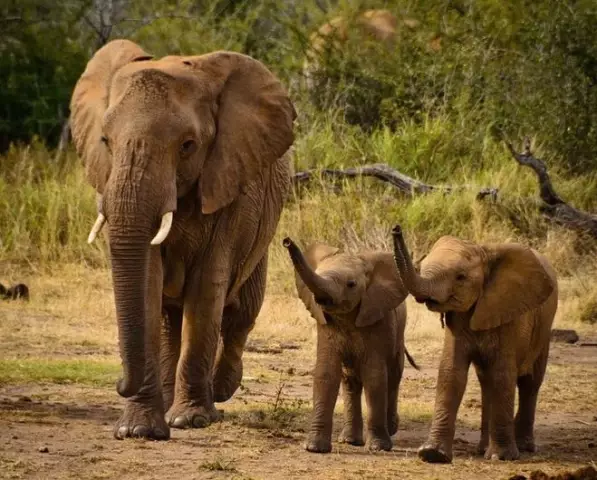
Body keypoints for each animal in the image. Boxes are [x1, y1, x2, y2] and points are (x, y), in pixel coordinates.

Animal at [70, 40, 296, 438]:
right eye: (105, 141)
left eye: (188, 146)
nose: (119, 383)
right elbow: (149, 283)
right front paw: (138, 430)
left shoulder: (229, 189)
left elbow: (207, 290)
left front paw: (188, 421)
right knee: (169, 319)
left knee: (242, 313)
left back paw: (219, 392)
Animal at [284, 239, 420, 454]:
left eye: (351, 284)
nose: (286, 241)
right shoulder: (325, 324)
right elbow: (326, 372)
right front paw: (314, 448)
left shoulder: (378, 321)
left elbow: (374, 376)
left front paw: (379, 448)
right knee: (350, 381)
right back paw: (350, 440)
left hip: (399, 336)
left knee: (393, 376)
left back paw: (391, 429)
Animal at [388, 227, 556, 464]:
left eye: (461, 277)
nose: (396, 229)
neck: (484, 252)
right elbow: (451, 373)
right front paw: (432, 454)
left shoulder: (510, 315)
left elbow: (503, 375)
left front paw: (501, 457)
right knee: (487, 382)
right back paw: (483, 449)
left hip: (544, 330)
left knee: (529, 382)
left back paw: (522, 447)